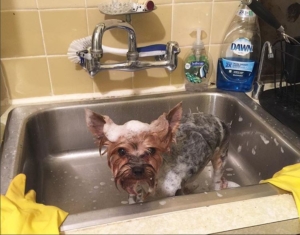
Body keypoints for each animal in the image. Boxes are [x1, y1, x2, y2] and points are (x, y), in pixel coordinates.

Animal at [85, 103, 231, 204]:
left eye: (152, 150)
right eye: (121, 151)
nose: (137, 169)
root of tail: (216, 118)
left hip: (221, 155)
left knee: (216, 175)